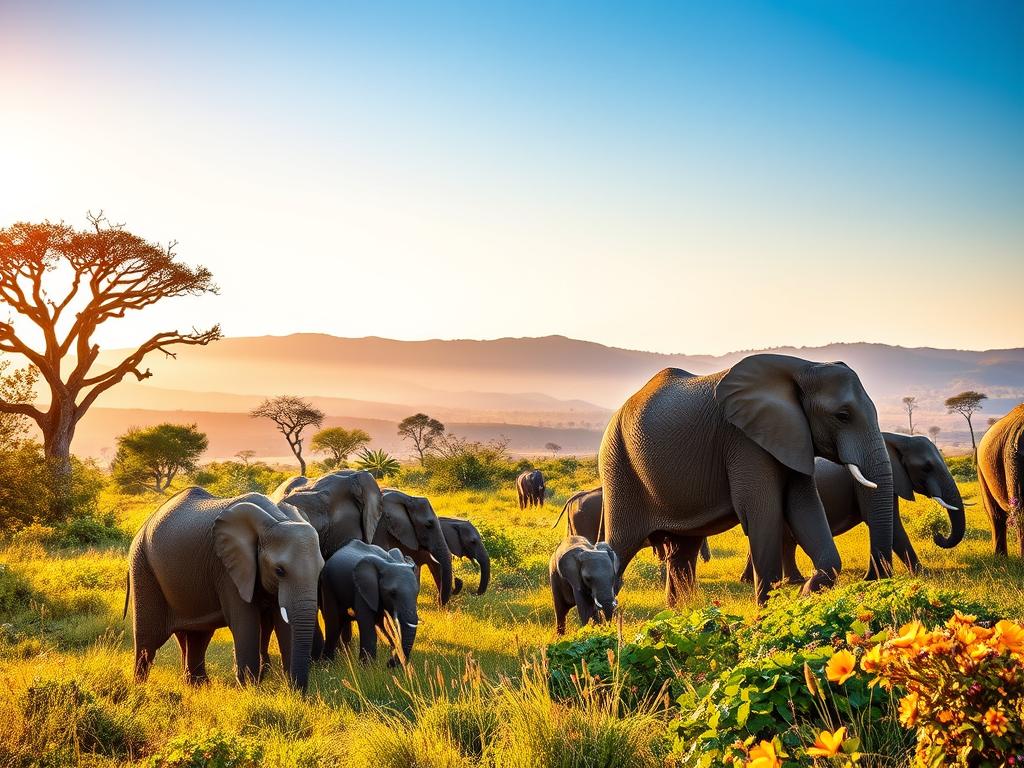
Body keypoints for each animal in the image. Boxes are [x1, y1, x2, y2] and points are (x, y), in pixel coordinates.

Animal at [126, 488, 324, 691]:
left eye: (321, 568)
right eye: (280, 571)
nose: (298, 691)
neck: (277, 518)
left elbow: (283, 621)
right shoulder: (227, 570)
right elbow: (245, 620)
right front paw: (249, 689)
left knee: (199, 635)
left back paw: (198, 686)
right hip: (143, 567)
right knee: (148, 640)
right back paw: (140, 686)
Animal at [599, 354, 894, 606]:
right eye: (842, 416)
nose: (872, 579)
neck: (803, 368)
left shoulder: (792, 438)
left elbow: (805, 508)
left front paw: (804, 594)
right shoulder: (744, 440)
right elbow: (763, 514)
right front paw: (768, 615)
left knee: (683, 552)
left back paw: (678, 614)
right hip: (618, 467)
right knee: (621, 546)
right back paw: (602, 623)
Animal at [739, 432, 965, 582]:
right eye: (926, 467)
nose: (938, 536)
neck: (899, 439)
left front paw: (921, 573)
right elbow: (892, 525)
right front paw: (923, 574)